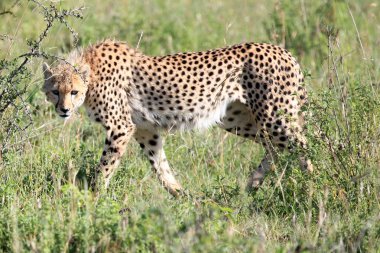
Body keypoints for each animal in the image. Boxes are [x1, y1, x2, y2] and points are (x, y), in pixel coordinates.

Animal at [43, 40, 314, 197]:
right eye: (55, 91)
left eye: (73, 92)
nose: (64, 110)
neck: (92, 72)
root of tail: (282, 50)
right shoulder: (145, 130)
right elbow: (159, 164)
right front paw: (179, 194)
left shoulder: (121, 128)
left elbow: (105, 167)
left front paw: (93, 199)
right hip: (238, 119)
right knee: (274, 147)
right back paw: (251, 186)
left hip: (273, 116)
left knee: (303, 145)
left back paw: (314, 188)